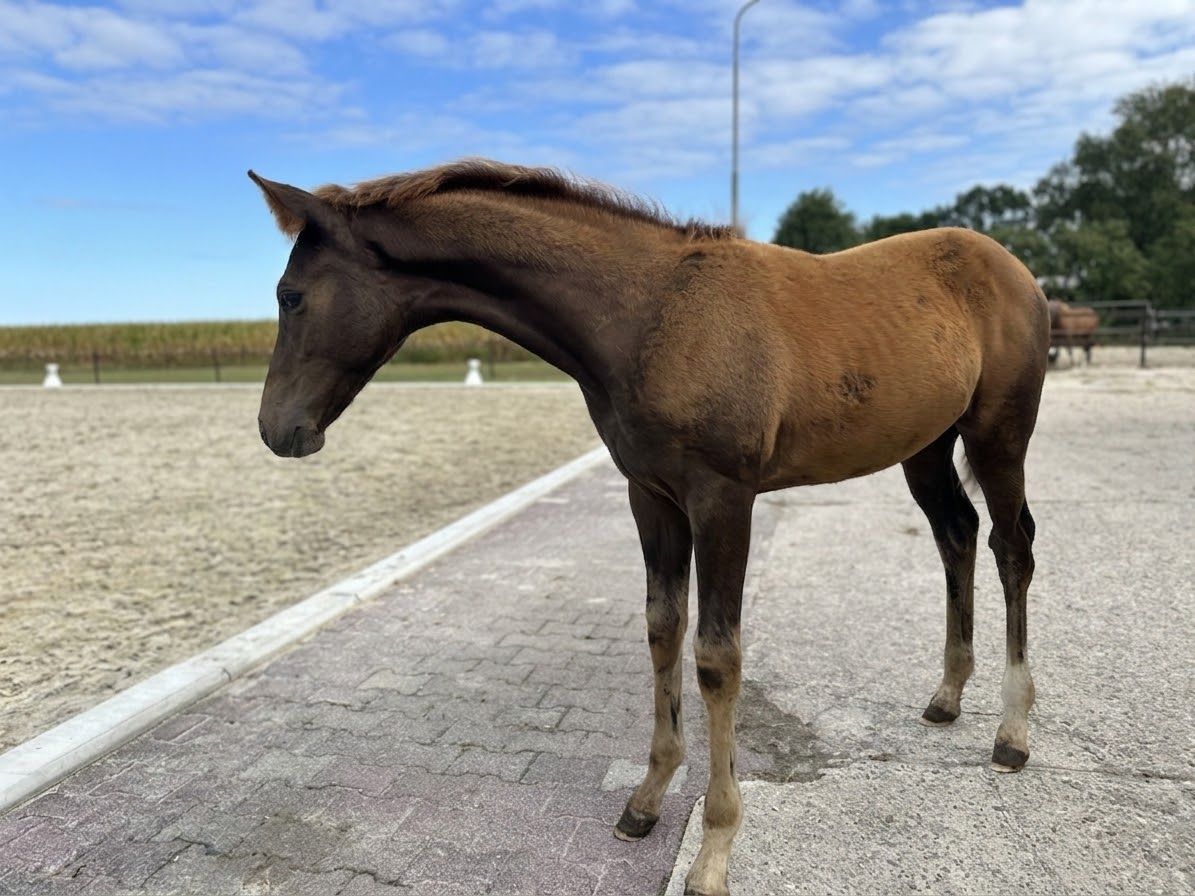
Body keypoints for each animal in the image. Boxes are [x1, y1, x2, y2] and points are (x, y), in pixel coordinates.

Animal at [250, 160, 1049, 896]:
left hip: (999, 437)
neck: (650, 313)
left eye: (290, 296)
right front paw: (647, 798)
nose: (276, 431)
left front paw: (714, 850)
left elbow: (716, 659)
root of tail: (1014, 269)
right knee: (955, 535)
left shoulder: (723, 499)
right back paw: (947, 696)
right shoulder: (651, 497)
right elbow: (663, 629)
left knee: (1010, 548)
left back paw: (1011, 732)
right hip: (926, 447)